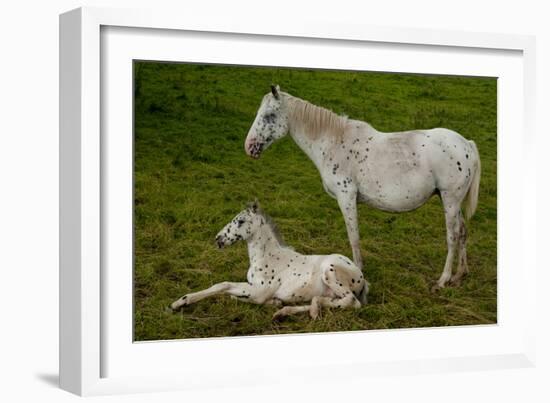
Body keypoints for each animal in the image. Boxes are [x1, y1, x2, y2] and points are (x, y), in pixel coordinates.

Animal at [171, 200, 370, 320]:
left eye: (240, 221)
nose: (218, 239)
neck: (266, 257)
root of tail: (361, 277)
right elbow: (227, 289)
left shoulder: (258, 291)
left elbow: (224, 286)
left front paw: (180, 302)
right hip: (331, 290)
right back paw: (283, 311)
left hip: (330, 271)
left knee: (352, 302)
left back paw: (311, 310)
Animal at [246, 87, 484, 292]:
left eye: (269, 116)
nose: (249, 147)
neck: (334, 142)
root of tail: (467, 144)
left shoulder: (346, 197)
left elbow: (354, 236)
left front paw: (358, 270)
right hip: (452, 201)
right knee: (463, 232)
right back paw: (459, 275)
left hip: (450, 200)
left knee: (453, 236)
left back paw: (443, 280)